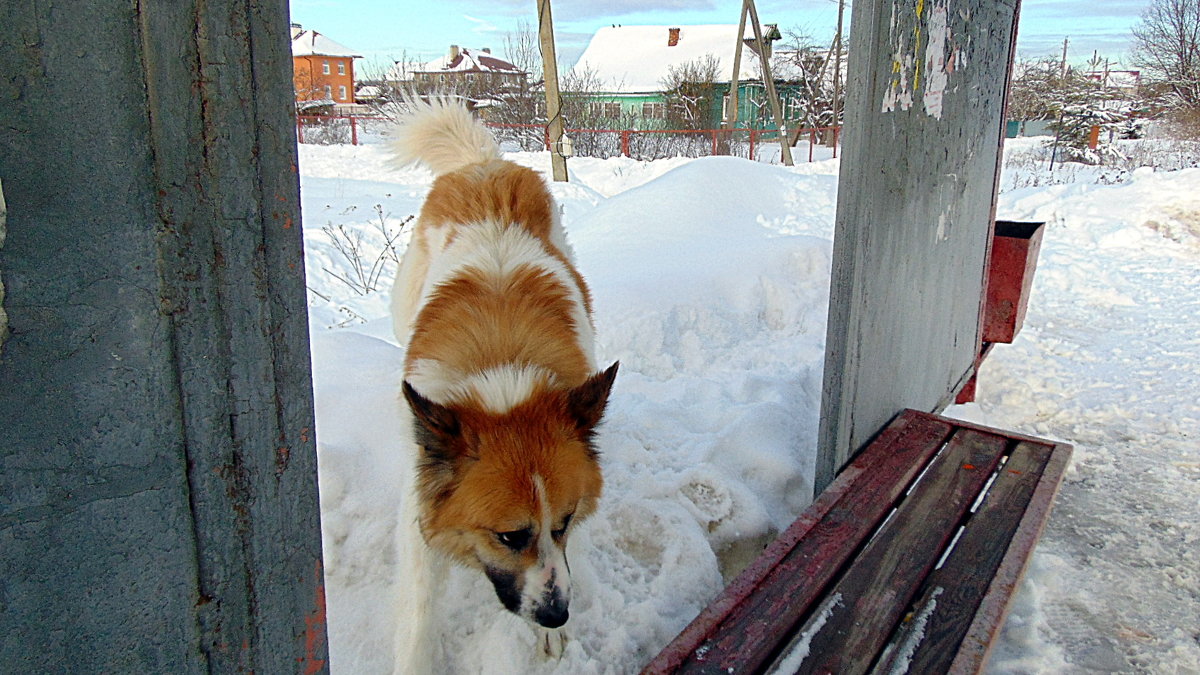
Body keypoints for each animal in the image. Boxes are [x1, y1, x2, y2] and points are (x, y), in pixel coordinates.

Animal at [388, 94, 619, 653]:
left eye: (564, 523)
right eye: (509, 536)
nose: (557, 615)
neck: (504, 379)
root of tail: (482, 164)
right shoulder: (419, 508)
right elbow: (419, 610)